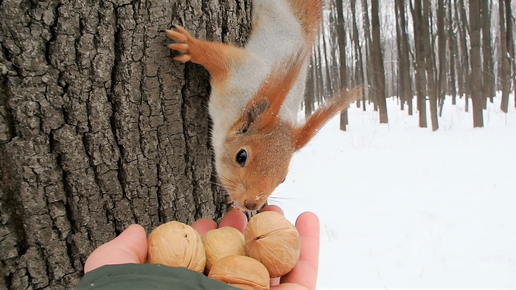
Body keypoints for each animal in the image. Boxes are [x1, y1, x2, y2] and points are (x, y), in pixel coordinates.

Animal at [167, 0, 360, 210]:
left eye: (283, 179)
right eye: (241, 156)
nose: (253, 204)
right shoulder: (242, 71)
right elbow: (218, 56)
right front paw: (190, 45)